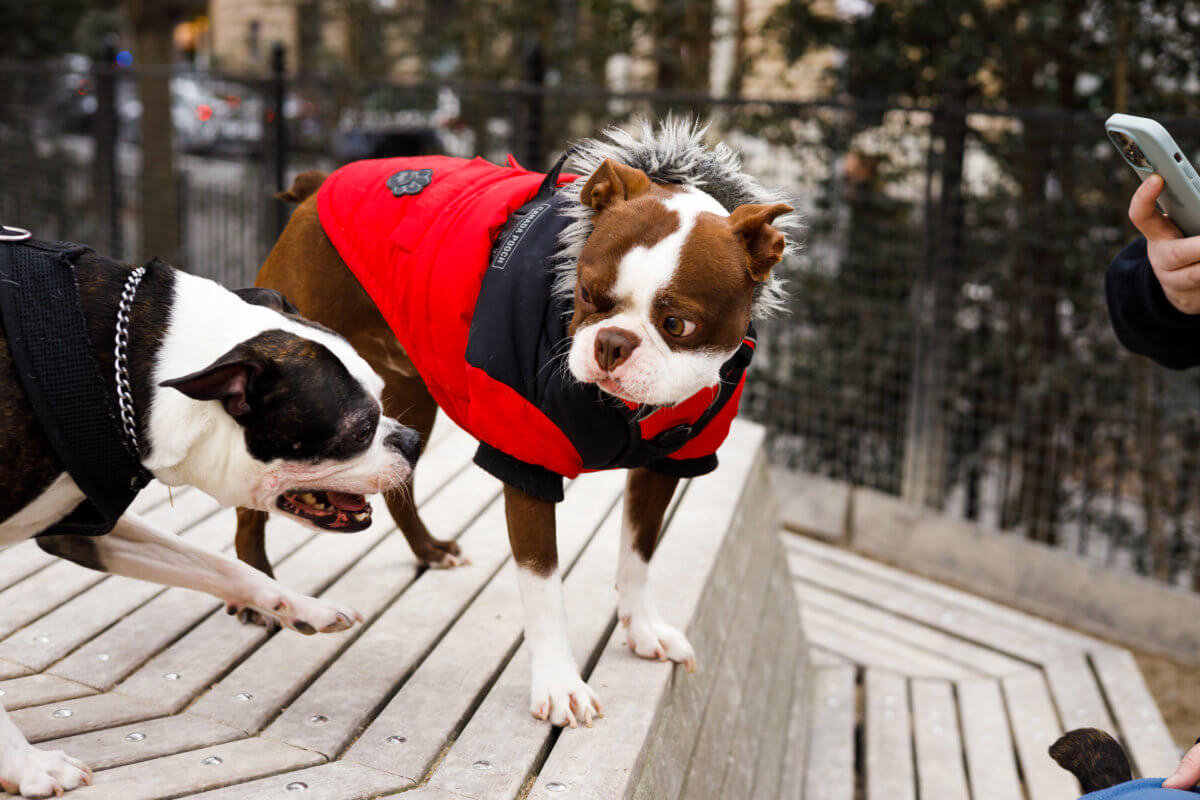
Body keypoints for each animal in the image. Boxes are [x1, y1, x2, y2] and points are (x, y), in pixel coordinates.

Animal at [0, 235, 420, 796]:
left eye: (382, 395)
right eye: (360, 430)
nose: (412, 441)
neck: (135, 368)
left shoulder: (79, 524)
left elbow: (218, 564)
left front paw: (299, 606)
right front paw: (27, 765)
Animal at [232, 118, 796, 724]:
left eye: (677, 325)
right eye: (585, 293)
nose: (612, 342)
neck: (624, 413)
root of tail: (320, 183)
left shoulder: (668, 463)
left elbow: (639, 553)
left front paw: (644, 629)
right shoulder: (527, 465)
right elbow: (544, 588)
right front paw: (560, 685)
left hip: (414, 392)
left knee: (400, 486)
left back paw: (428, 550)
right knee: (248, 498)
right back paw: (257, 586)